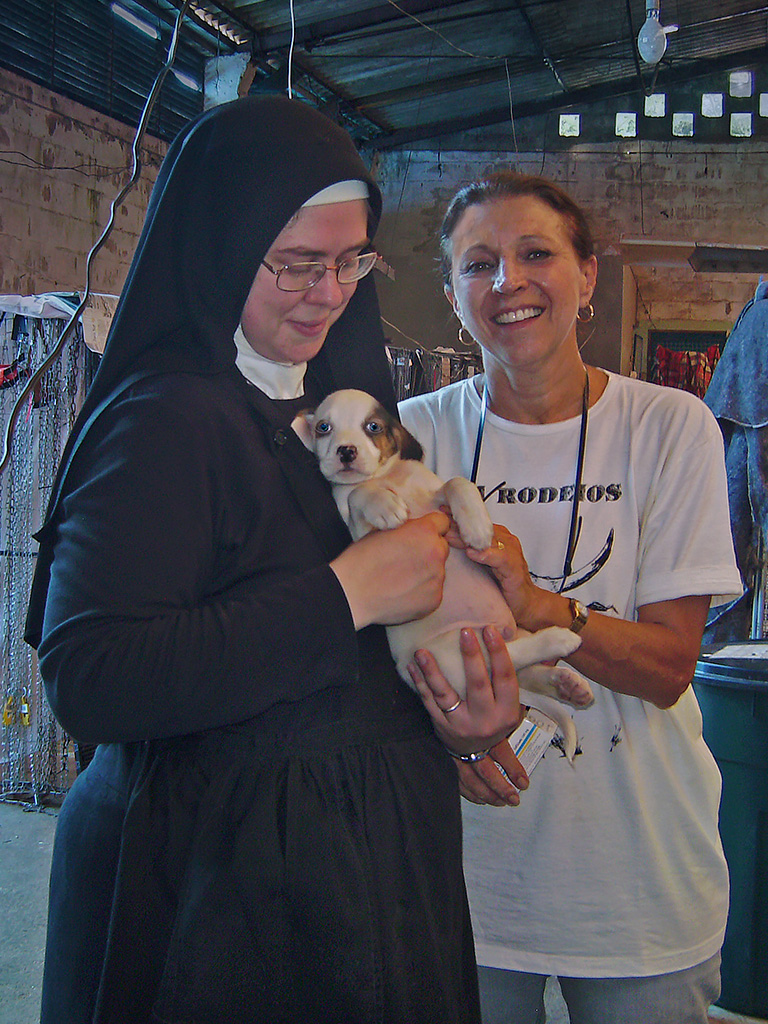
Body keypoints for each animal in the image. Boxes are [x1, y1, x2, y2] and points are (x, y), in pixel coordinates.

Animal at [294, 387, 593, 757]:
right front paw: (386, 506)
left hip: (506, 633)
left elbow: (458, 482)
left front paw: (477, 528)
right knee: (507, 657)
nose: (346, 451)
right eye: (324, 427)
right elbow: (359, 493)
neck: (387, 478)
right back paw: (559, 641)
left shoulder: (437, 491)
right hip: (449, 653)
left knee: (523, 667)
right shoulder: (360, 530)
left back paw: (567, 683)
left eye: (372, 427)